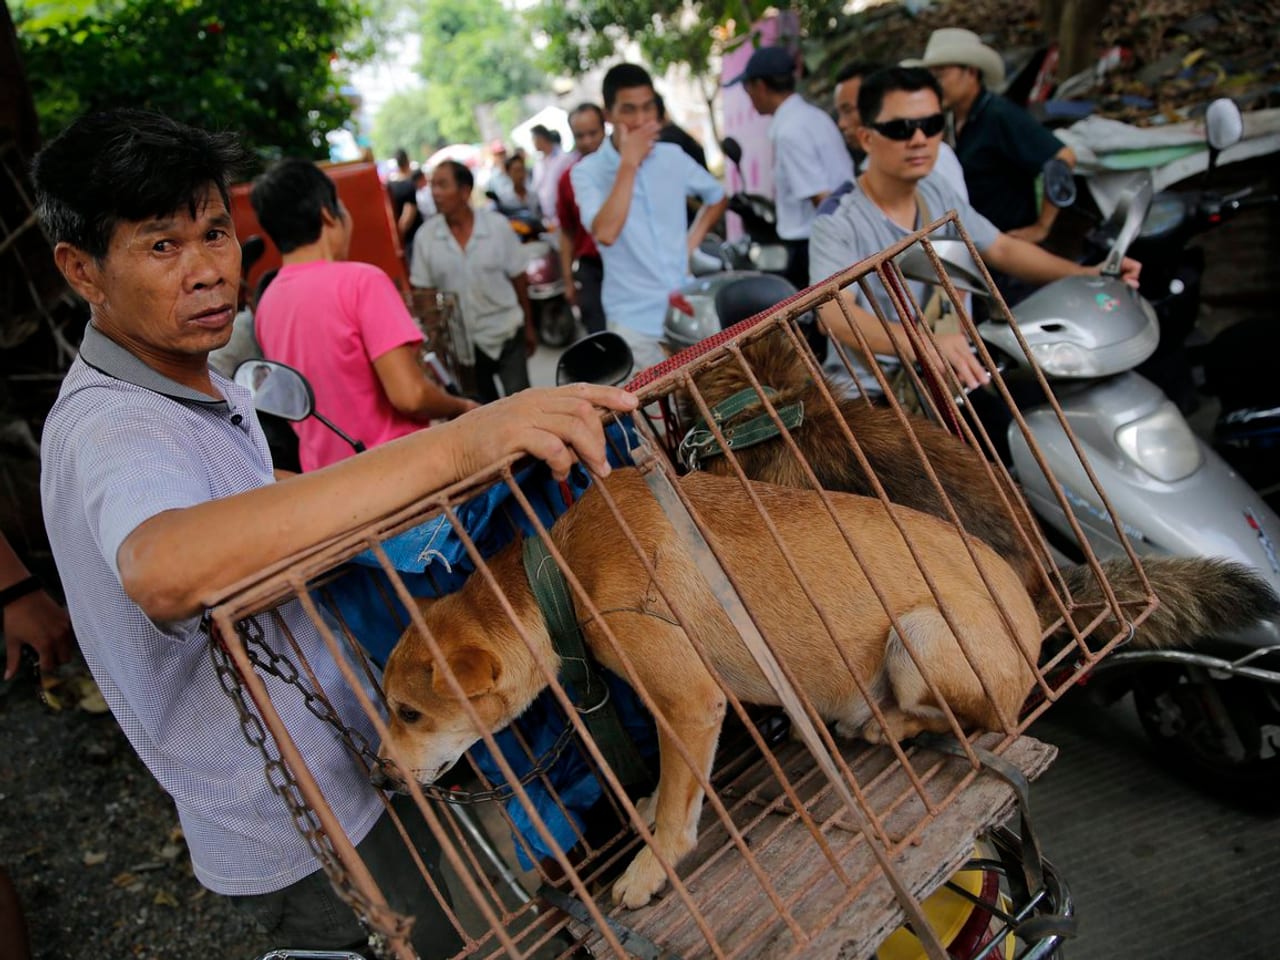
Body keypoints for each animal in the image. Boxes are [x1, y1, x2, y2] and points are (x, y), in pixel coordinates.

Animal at [376, 471, 1039, 911]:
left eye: (408, 712)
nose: (381, 779)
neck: (559, 575)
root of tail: (1032, 630)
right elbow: (670, 787)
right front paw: (647, 808)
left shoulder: (691, 703)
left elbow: (678, 809)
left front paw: (650, 869)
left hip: (918, 633)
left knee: (979, 718)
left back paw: (882, 721)